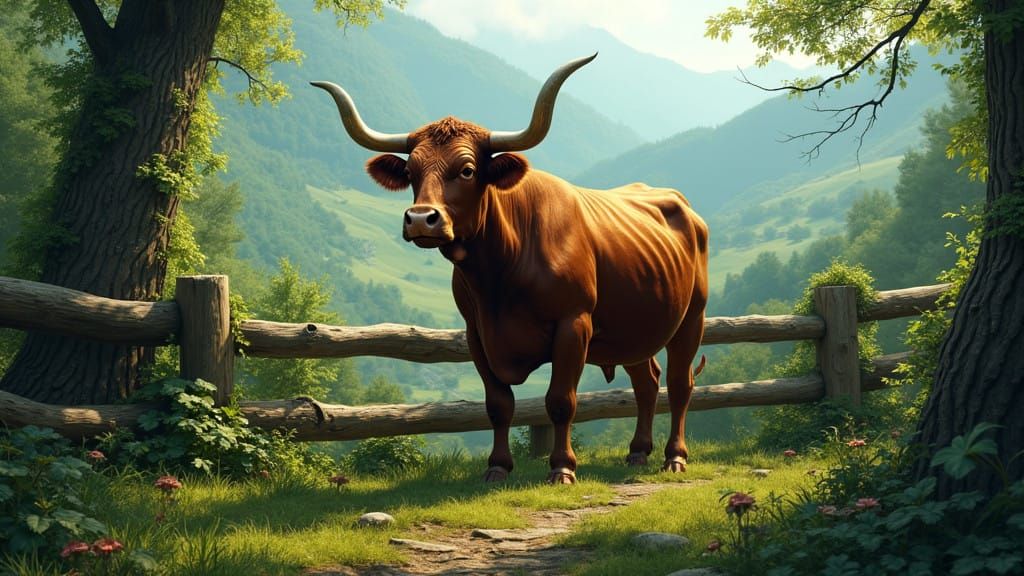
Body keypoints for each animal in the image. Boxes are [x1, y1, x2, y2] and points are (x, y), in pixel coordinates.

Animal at [312, 54, 708, 485]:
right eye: (411, 172)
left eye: (467, 170)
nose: (420, 219)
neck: (499, 278)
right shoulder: (477, 334)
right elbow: (498, 403)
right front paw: (498, 467)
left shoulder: (574, 324)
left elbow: (560, 400)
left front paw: (562, 468)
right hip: (634, 328)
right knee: (646, 382)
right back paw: (637, 452)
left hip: (692, 317)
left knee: (679, 383)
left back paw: (674, 457)